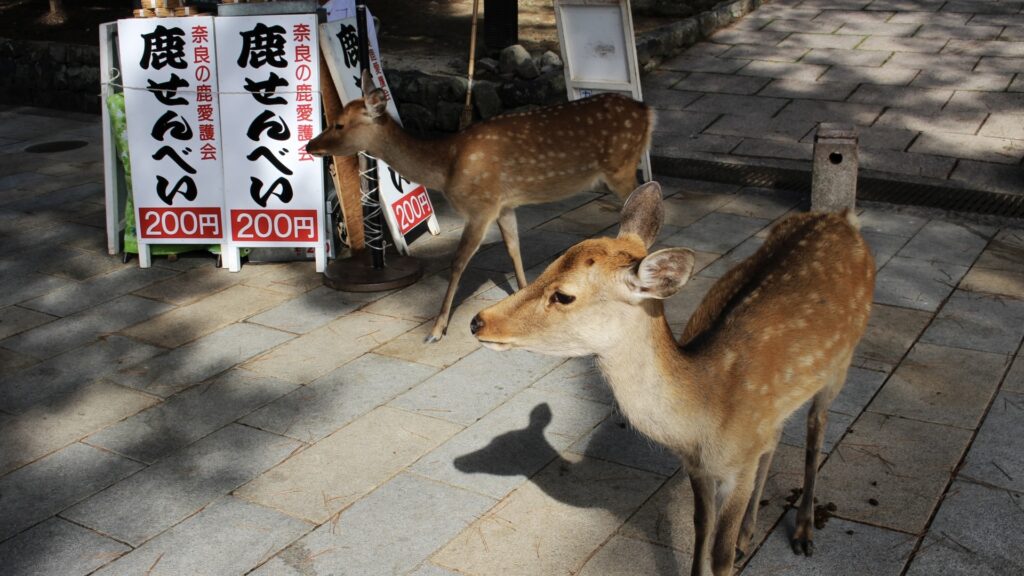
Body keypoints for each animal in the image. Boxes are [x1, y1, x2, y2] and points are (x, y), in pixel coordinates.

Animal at [306, 70, 654, 342]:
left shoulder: (480, 205)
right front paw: (522, 301)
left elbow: (458, 262)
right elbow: (513, 247)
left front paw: (435, 330)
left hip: (621, 167)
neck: (446, 166)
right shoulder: (503, 204)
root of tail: (648, 111)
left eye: (339, 124)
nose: (310, 144)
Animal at [470, 182, 875, 576]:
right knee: (775, 437)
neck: (701, 421)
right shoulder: (696, 466)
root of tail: (842, 217)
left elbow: (720, 556)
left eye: (564, 295)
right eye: (547, 267)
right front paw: (727, 541)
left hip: (842, 361)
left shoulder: (738, 468)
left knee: (816, 427)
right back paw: (748, 535)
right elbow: (700, 530)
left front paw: (734, 548)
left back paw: (804, 533)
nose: (478, 321)